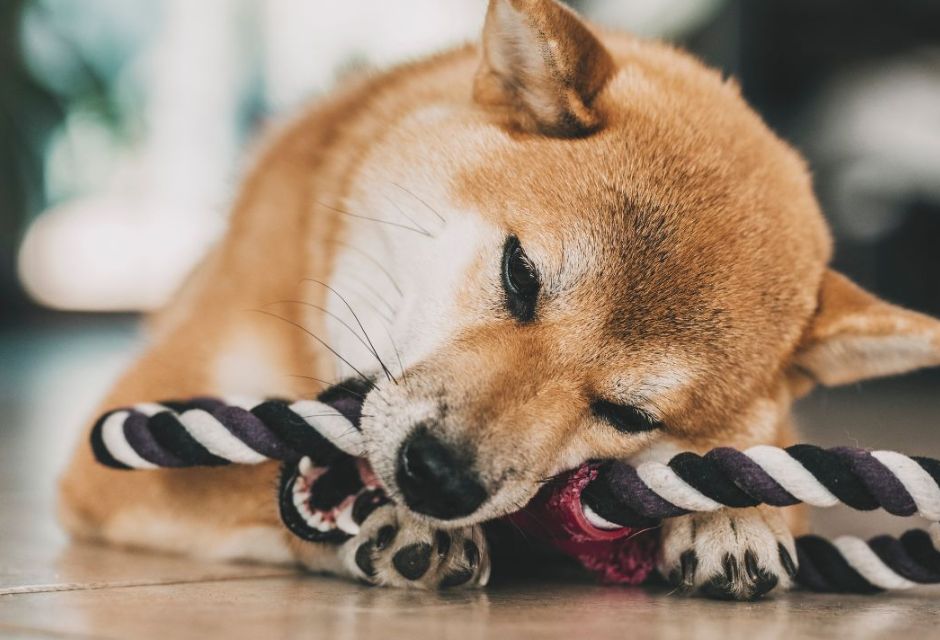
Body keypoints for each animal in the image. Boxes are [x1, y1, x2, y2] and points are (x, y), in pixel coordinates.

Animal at [57, 0, 940, 600]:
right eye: (521, 275)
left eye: (630, 416)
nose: (438, 480)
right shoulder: (120, 441)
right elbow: (241, 485)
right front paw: (391, 523)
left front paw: (733, 513)